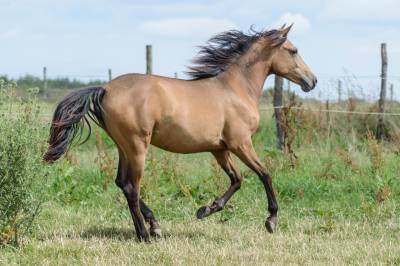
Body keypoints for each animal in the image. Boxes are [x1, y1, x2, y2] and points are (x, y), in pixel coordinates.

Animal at [43, 25, 318, 241]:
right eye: (293, 50)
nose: (312, 81)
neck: (236, 89)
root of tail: (105, 88)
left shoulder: (219, 149)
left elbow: (237, 179)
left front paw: (206, 209)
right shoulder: (241, 143)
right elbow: (265, 174)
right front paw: (271, 221)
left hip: (123, 146)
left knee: (121, 182)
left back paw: (155, 226)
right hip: (137, 146)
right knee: (132, 187)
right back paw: (145, 235)